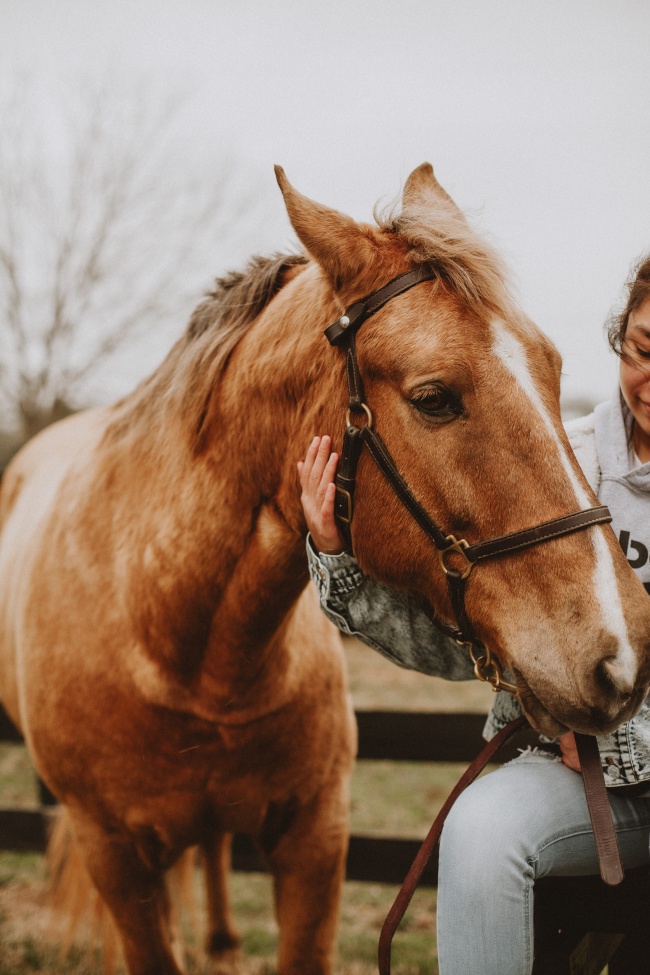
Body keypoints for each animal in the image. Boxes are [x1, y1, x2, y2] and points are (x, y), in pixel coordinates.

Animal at [1, 164, 648, 972]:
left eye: (554, 370)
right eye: (434, 398)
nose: (620, 653)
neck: (176, 643)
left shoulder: (315, 840)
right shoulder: (116, 858)